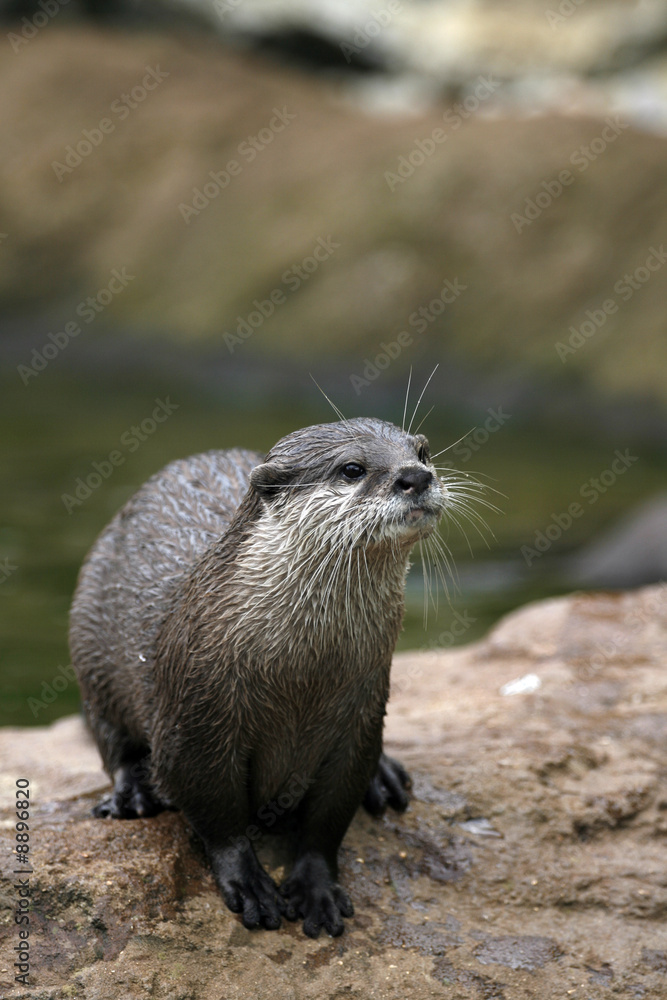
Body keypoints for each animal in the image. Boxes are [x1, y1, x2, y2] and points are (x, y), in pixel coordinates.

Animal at [69, 417, 449, 937]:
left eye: (423, 452)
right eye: (352, 468)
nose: (415, 477)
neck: (303, 677)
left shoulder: (360, 717)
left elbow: (330, 815)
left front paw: (315, 888)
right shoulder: (196, 720)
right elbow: (214, 810)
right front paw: (248, 882)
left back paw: (385, 777)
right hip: (88, 643)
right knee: (108, 733)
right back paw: (132, 793)